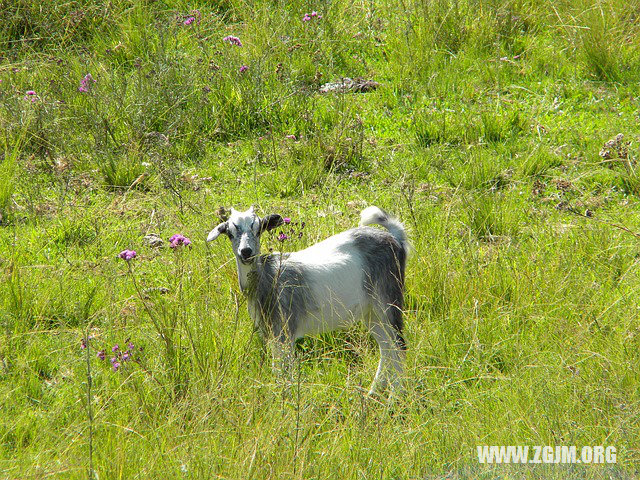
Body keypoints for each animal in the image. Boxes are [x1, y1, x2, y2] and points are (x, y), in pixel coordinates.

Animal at [210, 205, 410, 394]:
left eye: (258, 229)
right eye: (229, 233)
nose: (246, 252)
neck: (268, 277)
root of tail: (395, 238)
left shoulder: (285, 331)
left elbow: (283, 371)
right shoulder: (272, 333)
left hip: (387, 298)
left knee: (398, 345)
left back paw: (395, 396)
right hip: (371, 312)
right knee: (386, 346)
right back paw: (373, 392)